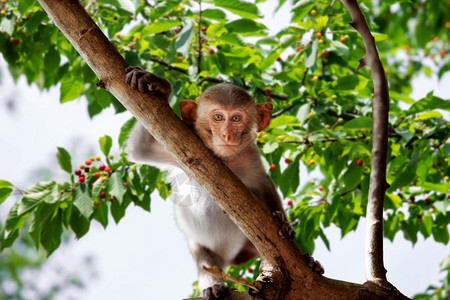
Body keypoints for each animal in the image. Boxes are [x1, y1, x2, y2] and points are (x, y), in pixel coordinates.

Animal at [125, 67, 322, 298]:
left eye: (236, 118)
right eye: (218, 117)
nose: (227, 135)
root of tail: (229, 259)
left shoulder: (251, 155)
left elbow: (263, 185)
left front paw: (283, 222)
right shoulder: (179, 147)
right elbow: (141, 147)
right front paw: (160, 86)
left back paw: (310, 262)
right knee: (203, 257)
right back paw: (212, 284)